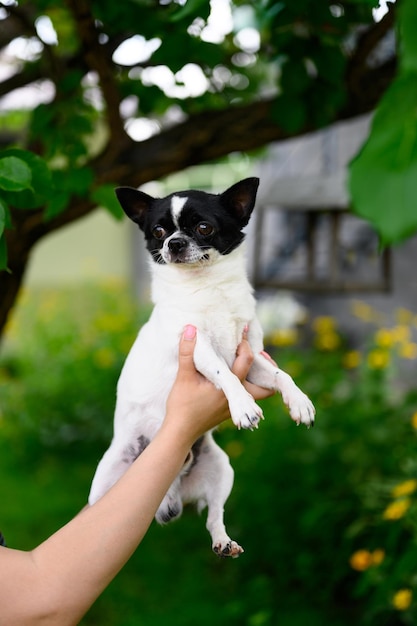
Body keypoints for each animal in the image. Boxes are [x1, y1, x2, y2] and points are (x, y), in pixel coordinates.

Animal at [88, 176, 316, 556]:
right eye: (159, 231)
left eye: (204, 227)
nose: (174, 242)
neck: (207, 286)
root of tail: (170, 492)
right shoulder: (199, 349)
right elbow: (225, 375)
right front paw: (243, 407)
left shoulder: (250, 358)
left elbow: (280, 374)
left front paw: (299, 402)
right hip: (104, 487)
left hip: (222, 470)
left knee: (214, 516)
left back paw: (224, 542)